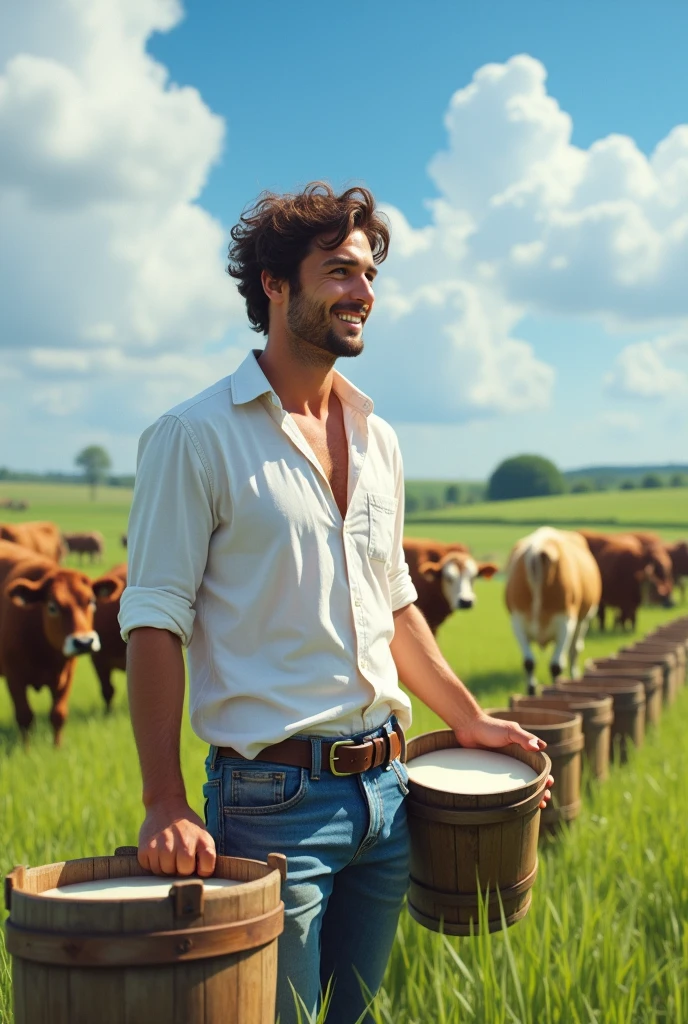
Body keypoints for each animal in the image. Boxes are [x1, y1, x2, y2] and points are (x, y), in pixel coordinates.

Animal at [0, 540, 118, 749]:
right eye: (52, 607)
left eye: (91, 602)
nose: (84, 642)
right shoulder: (13, 677)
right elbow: (24, 716)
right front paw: (26, 750)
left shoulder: (67, 675)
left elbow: (58, 714)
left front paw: (57, 748)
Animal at [505, 528, 602, 696]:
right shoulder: (517, 622)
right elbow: (529, 662)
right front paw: (531, 690)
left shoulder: (566, 623)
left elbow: (556, 665)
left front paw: (556, 689)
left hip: (584, 619)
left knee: (575, 649)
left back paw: (574, 674)